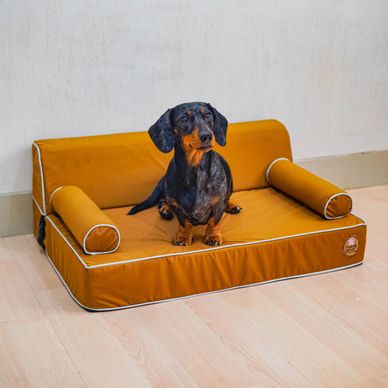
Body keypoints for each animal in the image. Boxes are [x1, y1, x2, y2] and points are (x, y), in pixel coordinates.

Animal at [129, 101, 241, 244]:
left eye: (208, 115)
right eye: (183, 119)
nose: (207, 136)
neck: (196, 170)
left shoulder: (218, 205)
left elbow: (214, 221)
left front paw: (212, 236)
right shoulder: (178, 209)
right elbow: (184, 223)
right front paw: (183, 237)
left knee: (227, 198)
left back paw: (231, 206)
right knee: (163, 200)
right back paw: (165, 209)